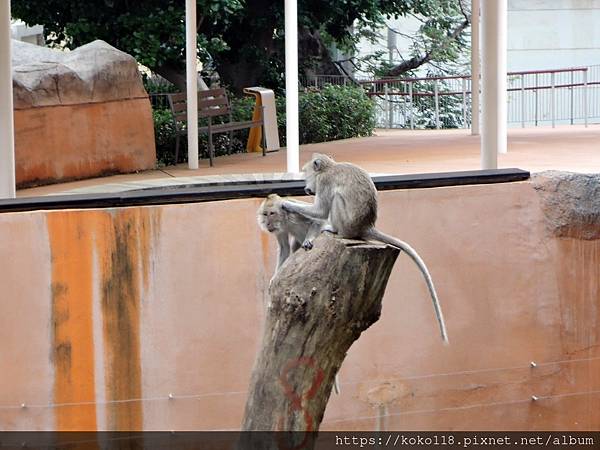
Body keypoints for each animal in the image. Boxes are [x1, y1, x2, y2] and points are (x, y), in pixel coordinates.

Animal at [284, 153, 448, 342]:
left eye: (305, 173)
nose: (306, 187)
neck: (329, 168)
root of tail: (366, 226)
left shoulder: (324, 182)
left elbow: (320, 211)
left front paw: (286, 204)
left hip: (347, 224)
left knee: (336, 198)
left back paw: (335, 230)